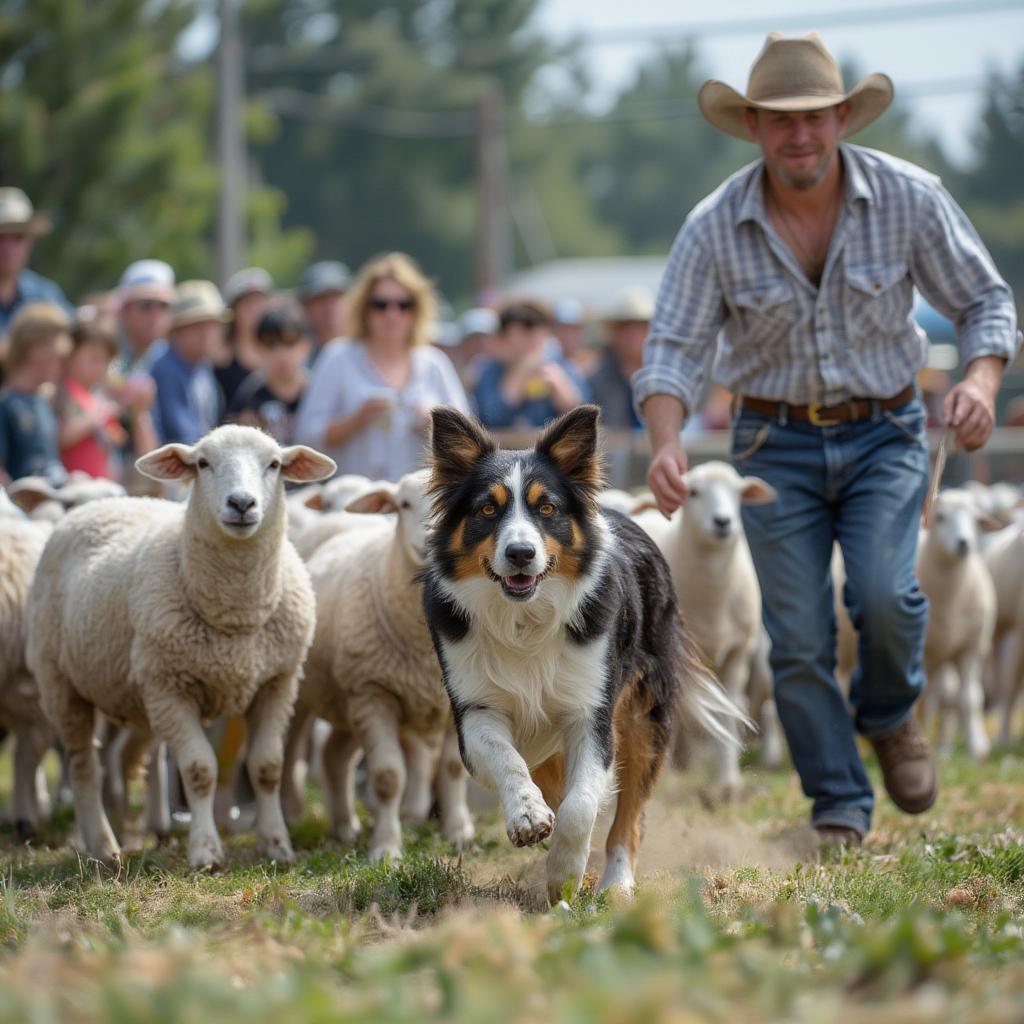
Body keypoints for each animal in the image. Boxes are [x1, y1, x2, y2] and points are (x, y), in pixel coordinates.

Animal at [25, 421, 333, 864]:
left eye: (274, 464)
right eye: (203, 463)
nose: (242, 503)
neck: (235, 615)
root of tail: (96, 504)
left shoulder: (278, 683)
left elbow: (267, 767)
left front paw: (277, 845)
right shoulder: (170, 688)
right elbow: (200, 770)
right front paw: (205, 851)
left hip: (134, 693)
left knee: (127, 758)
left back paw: (135, 826)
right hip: (61, 682)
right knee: (84, 764)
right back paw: (103, 845)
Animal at [278, 468, 473, 860]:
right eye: (403, 504)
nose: (432, 540)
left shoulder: (452, 700)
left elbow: (452, 768)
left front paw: (457, 833)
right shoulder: (374, 693)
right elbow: (387, 776)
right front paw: (386, 849)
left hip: (345, 700)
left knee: (334, 755)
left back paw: (344, 827)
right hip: (311, 692)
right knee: (293, 753)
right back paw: (292, 813)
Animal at [419, 403, 741, 901]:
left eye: (547, 508)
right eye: (487, 509)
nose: (520, 553)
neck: (525, 620)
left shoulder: (592, 710)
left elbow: (582, 802)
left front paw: (565, 873)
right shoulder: (474, 708)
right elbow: (507, 759)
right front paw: (529, 817)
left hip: (646, 717)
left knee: (629, 817)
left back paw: (616, 884)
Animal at [630, 462, 774, 790]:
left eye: (738, 493)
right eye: (692, 492)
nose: (723, 522)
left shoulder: (737, 653)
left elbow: (730, 711)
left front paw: (728, 780)